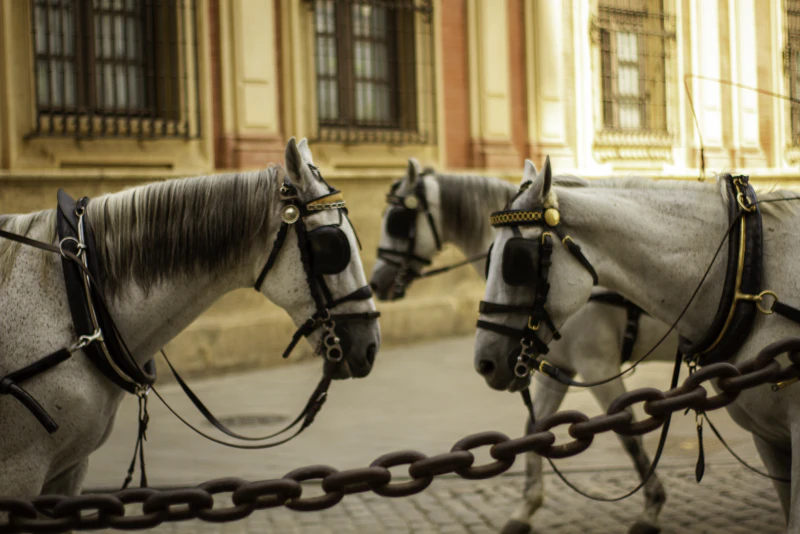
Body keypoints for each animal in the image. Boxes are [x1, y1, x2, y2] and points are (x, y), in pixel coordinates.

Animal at [370, 159, 677, 534]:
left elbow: (627, 431)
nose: (376, 282)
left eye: (398, 220)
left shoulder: (596, 365)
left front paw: (652, 506)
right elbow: (534, 430)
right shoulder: (556, 369)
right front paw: (526, 507)